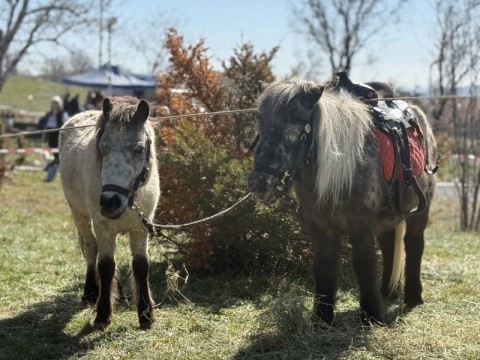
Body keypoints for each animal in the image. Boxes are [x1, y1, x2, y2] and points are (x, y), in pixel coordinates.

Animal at [59, 95, 158, 330]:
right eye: (102, 148)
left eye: (139, 150)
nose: (110, 203)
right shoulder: (103, 227)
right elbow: (105, 266)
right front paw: (103, 315)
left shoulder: (141, 228)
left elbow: (141, 265)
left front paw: (146, 315)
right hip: (78, 213)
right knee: (90, 248)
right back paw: (90, 293)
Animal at [249, 77, 436, 324]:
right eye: (259, 128)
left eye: (292, 130)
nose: (258, 184)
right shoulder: (320, 229)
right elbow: (323, 266)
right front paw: (321, 317)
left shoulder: (361, 227)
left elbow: (364, 265)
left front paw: (371, 315)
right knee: (388, 246)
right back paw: (386, 292)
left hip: (419, 212)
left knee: (414, 245)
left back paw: (413, 297)